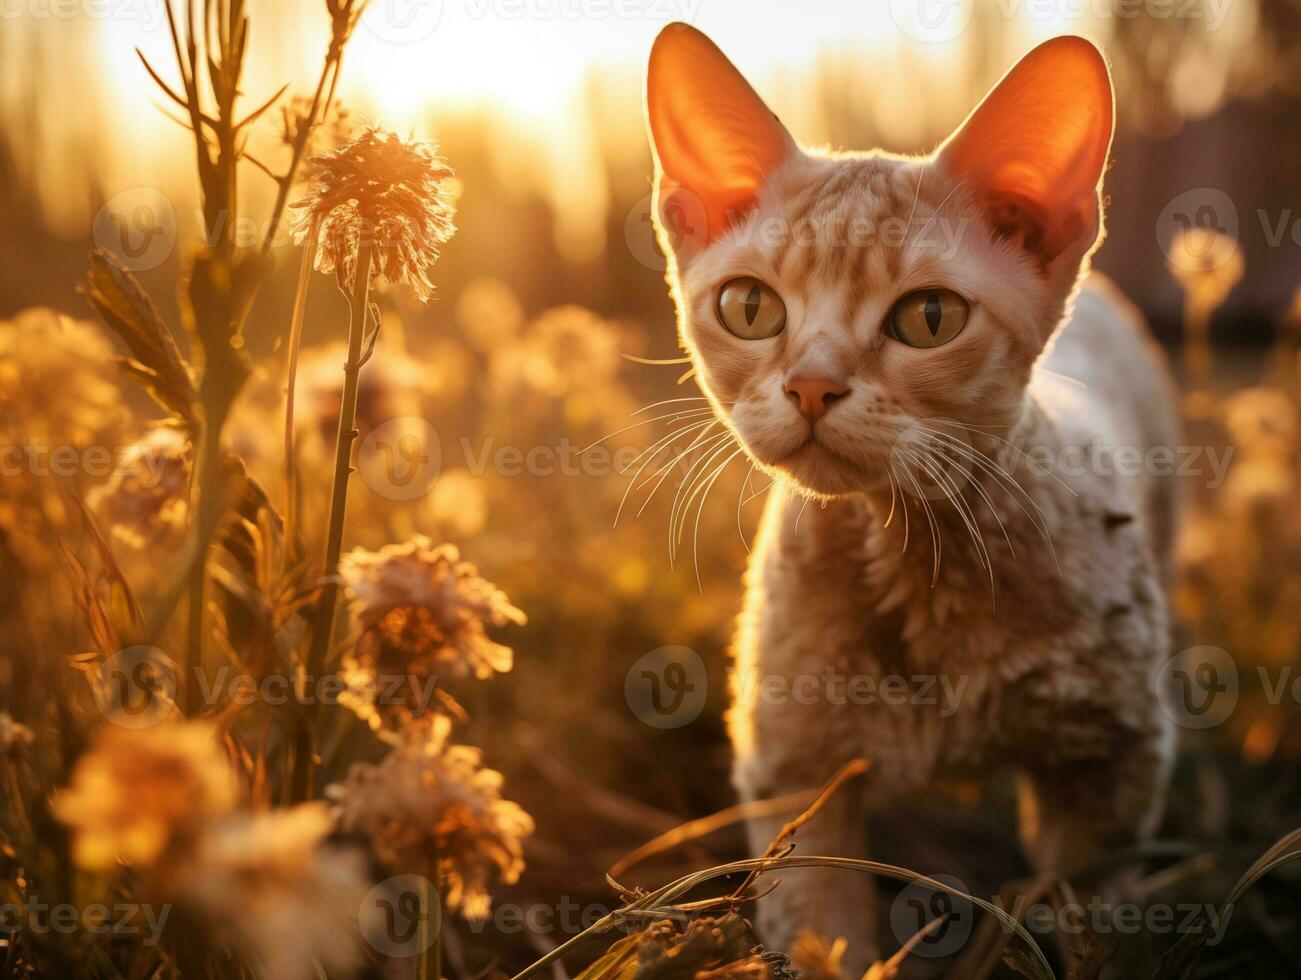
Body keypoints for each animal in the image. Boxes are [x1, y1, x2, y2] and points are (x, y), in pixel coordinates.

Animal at [645, 22, 1186, 973]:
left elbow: (1094, 924)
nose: (812, 386)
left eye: (929, 318)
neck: (911, 560)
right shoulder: (792, 769)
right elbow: (815, 930)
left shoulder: (1113, 763)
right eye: (748, 307)